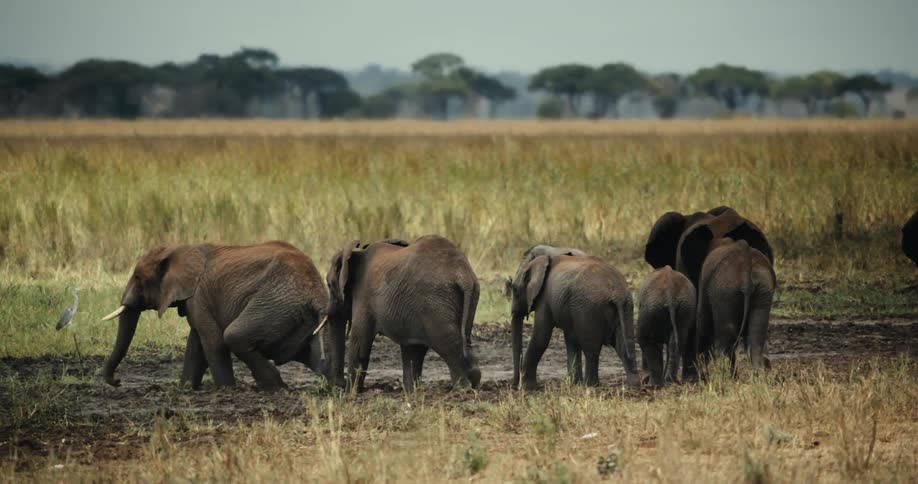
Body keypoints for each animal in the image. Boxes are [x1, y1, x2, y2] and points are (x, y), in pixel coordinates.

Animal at [100, 241, 343, 390]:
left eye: (138, 278)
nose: (117, 381)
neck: (180, 249)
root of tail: (314, 288)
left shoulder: (198, 297)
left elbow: (213, 342)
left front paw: (227, 389)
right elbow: (195, 346)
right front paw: (185, 388)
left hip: (276, 303)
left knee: (234, 336)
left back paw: (274, 387)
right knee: (313, 354)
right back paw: (333, 384)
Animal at [323, 235, 481, 392]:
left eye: (329, 285)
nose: (338, 386)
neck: (356, 253)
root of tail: (462, 274)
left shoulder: (364, 296)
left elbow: (360, 342)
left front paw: (350, 393)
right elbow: (413, 350)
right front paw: (412, 392)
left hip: (436, 302)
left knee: (449, 343)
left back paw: (463, 390)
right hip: (464, 297)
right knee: (465, 340)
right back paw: (474, 382)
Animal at [507, 252, 639, 389]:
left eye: (515, 291)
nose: (514, 385)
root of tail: (617, 293)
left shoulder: (544, 299)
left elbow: (541, 338)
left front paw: (528, 388)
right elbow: (571, 339)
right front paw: (575, 384)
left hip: (589, 308)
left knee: (591, 348)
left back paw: (591, 385)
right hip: (626, 307)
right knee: (624, 344)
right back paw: (633, 385)